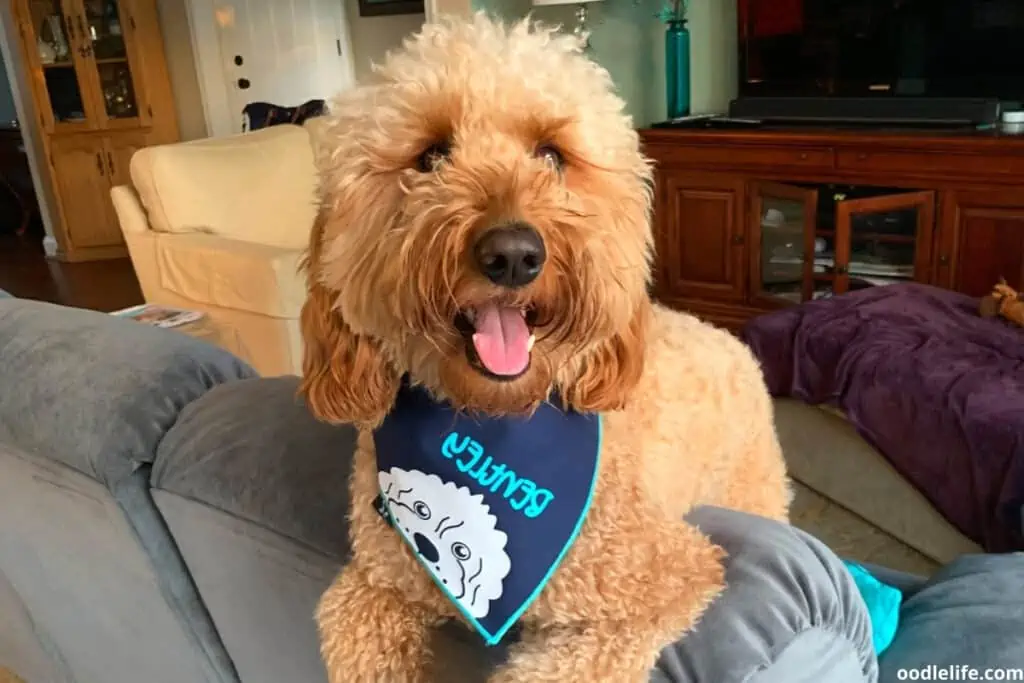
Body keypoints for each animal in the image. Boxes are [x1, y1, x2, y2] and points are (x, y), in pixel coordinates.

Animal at [299, 12, 786, 683]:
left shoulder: (662, 578)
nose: (512, 253)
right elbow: (353, 631)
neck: (494, 421)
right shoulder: (378, 580)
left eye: (552, 155)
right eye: (430, 156)